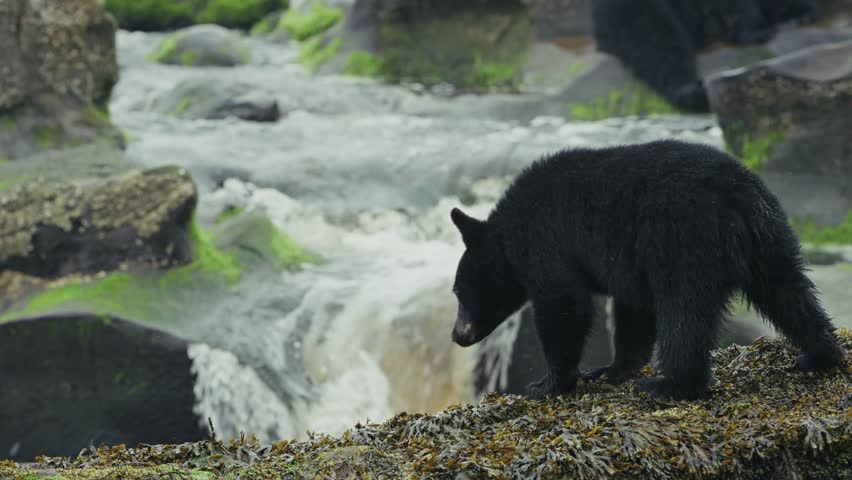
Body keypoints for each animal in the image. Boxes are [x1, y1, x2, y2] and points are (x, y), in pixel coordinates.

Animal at [449, 139, 845, 401]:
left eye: (458, 292)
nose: (457, 335)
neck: (507, 234)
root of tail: (734, 193)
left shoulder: (545, 242)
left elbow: (564, 305)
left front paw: (547, 384)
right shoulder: (627, 265)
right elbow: (634, 310)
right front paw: (612, 370)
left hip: (682, 234)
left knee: (684, 311)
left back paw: (671, 385)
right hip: (769, 235)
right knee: (788, 291)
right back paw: (819, 355)